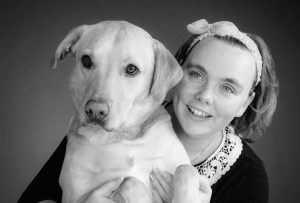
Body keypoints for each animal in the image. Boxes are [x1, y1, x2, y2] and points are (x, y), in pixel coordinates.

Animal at [51, 21, 191, 203]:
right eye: (86, 60)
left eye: (131, 69)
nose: (95, 111)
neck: (124, 136)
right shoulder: (75, 197)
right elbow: (131, 182)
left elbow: (186, 170)